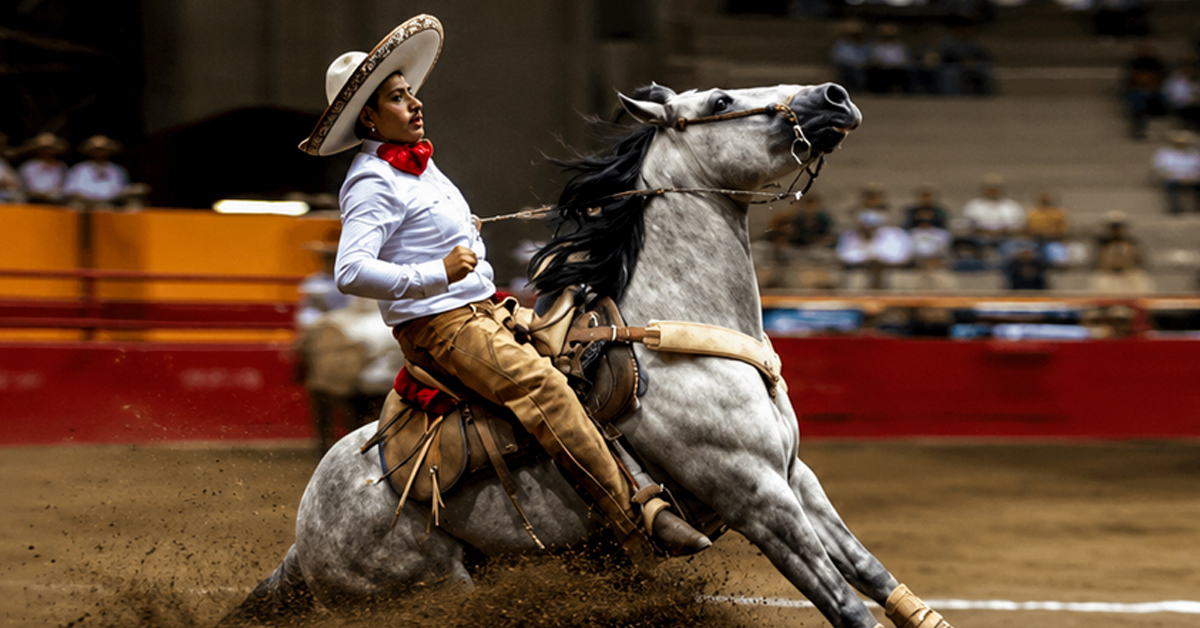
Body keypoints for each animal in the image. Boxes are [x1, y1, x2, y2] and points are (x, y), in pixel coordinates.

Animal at [221, 81, 954, 628]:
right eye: (720, 99)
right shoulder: (756, 496)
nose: (834, 95)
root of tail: (303, 538)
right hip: (433, 590)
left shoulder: (797, 480)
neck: (680, 335)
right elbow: (844, 604)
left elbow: (871, 572)